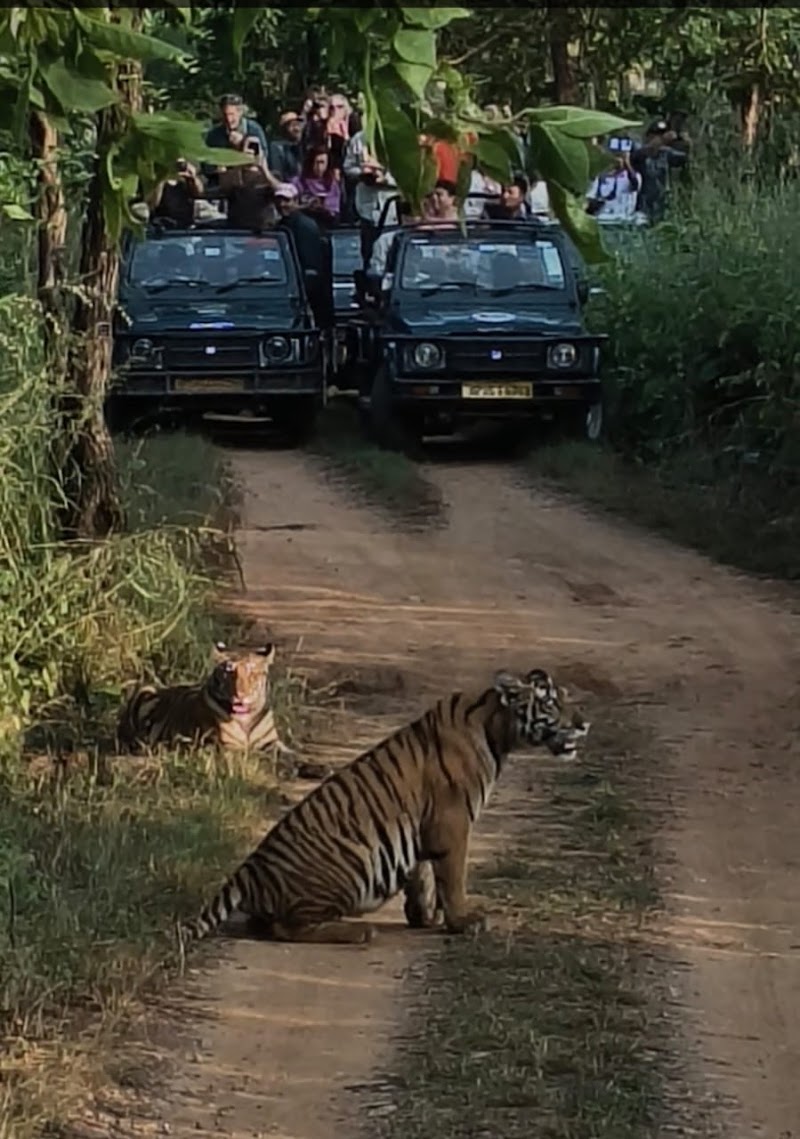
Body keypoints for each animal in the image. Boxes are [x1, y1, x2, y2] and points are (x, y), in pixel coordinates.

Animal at [116, 642, 286, 756]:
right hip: (146, 691)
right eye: (229, 672)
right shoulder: (224, 745)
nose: (240, 695)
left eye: (252, 673)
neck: (246, 718)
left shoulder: (272, 742)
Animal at [180, 667, 590, 947]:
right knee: (288, 927)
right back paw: (360, 930)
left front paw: (425, 916)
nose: (585, 724)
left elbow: (423, 875)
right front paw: (464, 920)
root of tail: (247, 870)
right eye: (550, 703)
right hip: (346, 865)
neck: (497, 728)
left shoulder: (426, 826)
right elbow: (452, 878)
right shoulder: (452, 823)